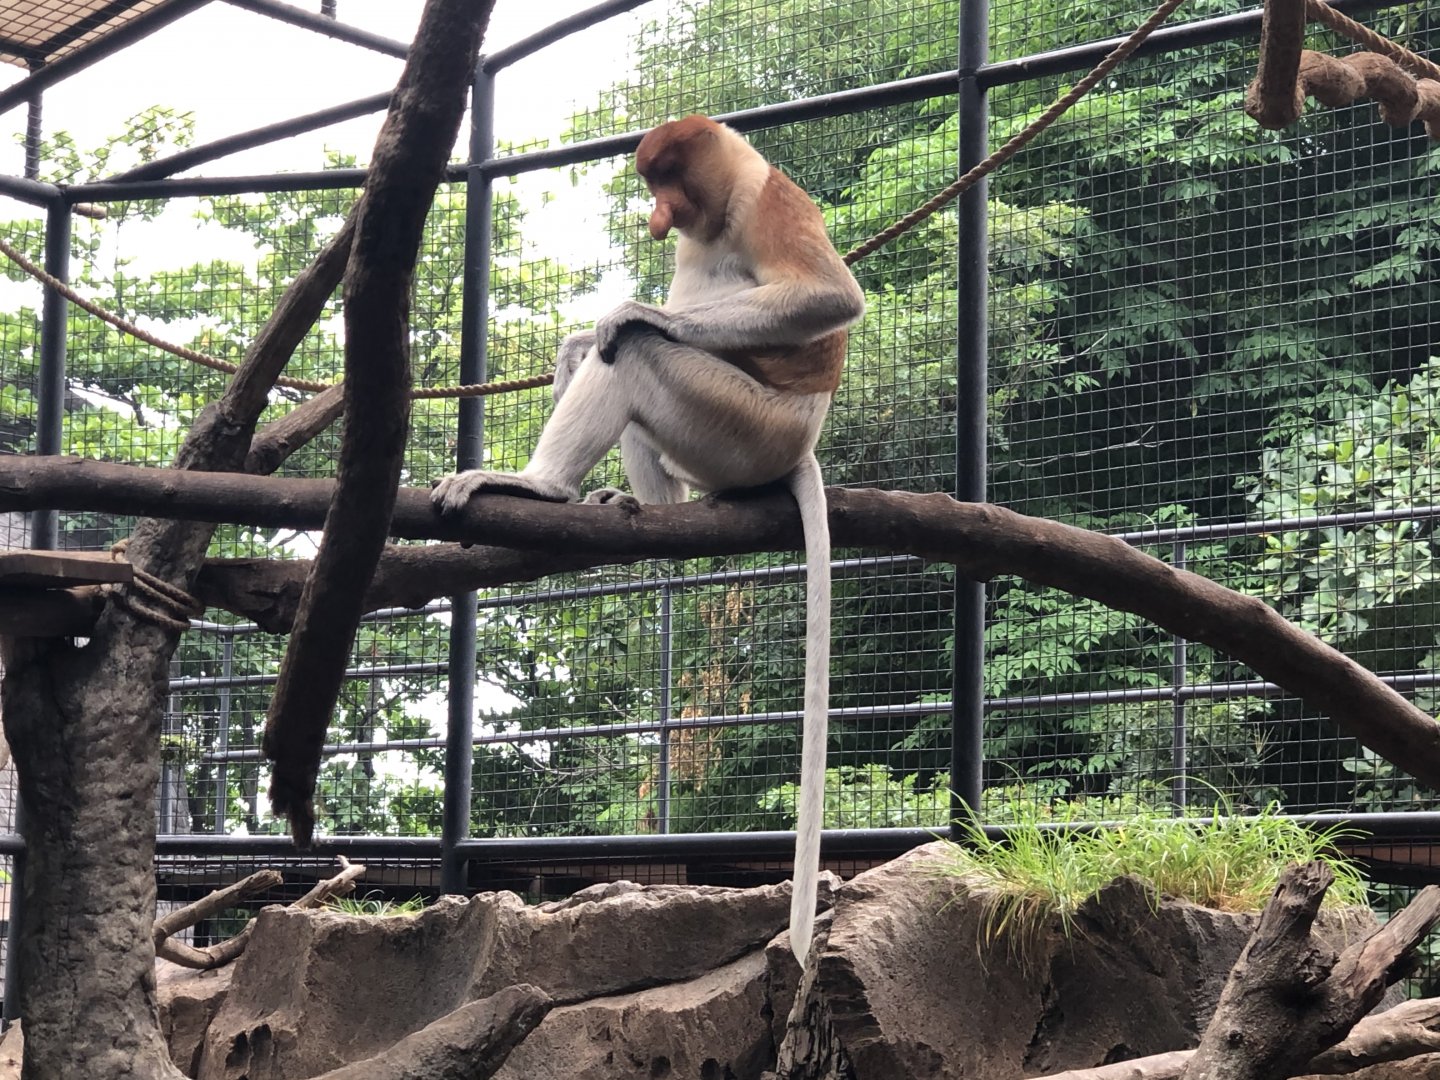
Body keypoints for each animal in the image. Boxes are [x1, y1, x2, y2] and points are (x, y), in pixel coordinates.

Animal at [431, 116, 865, 962]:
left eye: (670, 182)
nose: (659, 217)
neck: (722, 204)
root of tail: (797, 447)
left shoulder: (769, 202)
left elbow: (830, 296)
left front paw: (640, 311)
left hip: (740, 425)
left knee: (629, 354)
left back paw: (545, 485)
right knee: (592, 361)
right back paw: (634, 505)